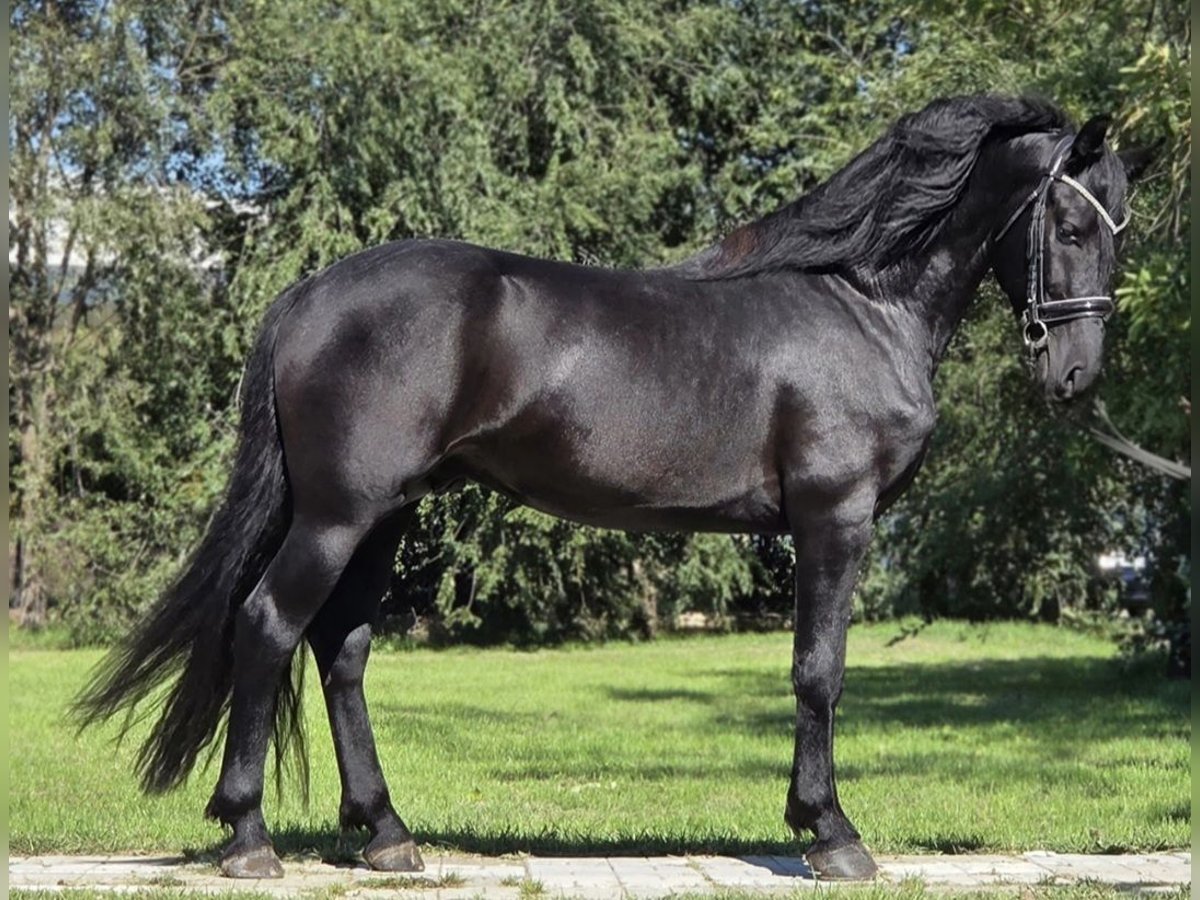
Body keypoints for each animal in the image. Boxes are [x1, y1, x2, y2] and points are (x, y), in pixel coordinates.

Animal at [75, 94, 1154, 881]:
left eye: (1121, 230)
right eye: (1067, 221)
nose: (1077, 377)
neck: (862, 302)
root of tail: (307, 295)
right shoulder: (832, 519)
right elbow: (819, 671)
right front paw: (831, 833)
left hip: (385, 516)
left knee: (341, 648)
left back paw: (385, 834)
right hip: (339, 515)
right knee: (268, 625)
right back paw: (250, 838)